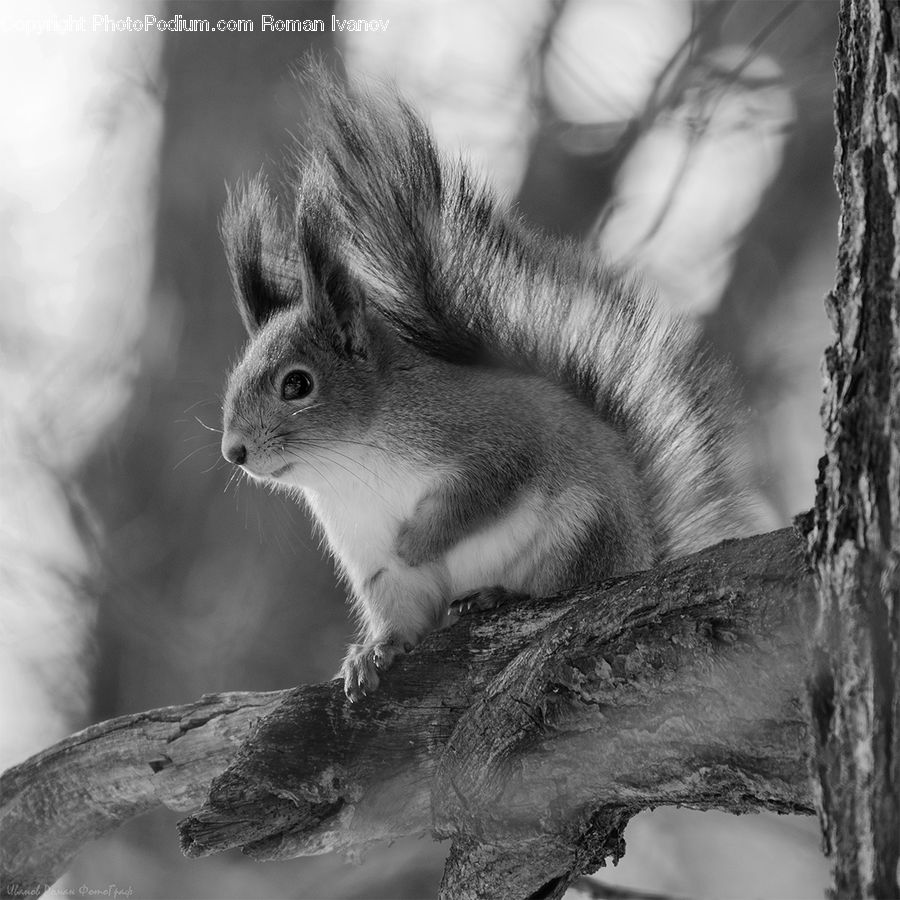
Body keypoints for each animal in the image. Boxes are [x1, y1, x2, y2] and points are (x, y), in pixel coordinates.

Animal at [219, 76, 758, 702]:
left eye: (297, 384)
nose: (234, 452)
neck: (350, 464)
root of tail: (642, 553)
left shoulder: (493, 439)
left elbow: (480, 493)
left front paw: (418, 540)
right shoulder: (375, 565)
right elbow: (401, 614)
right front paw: (371, 653)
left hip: (583, 531)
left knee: (562, 588)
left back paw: (500, 594)